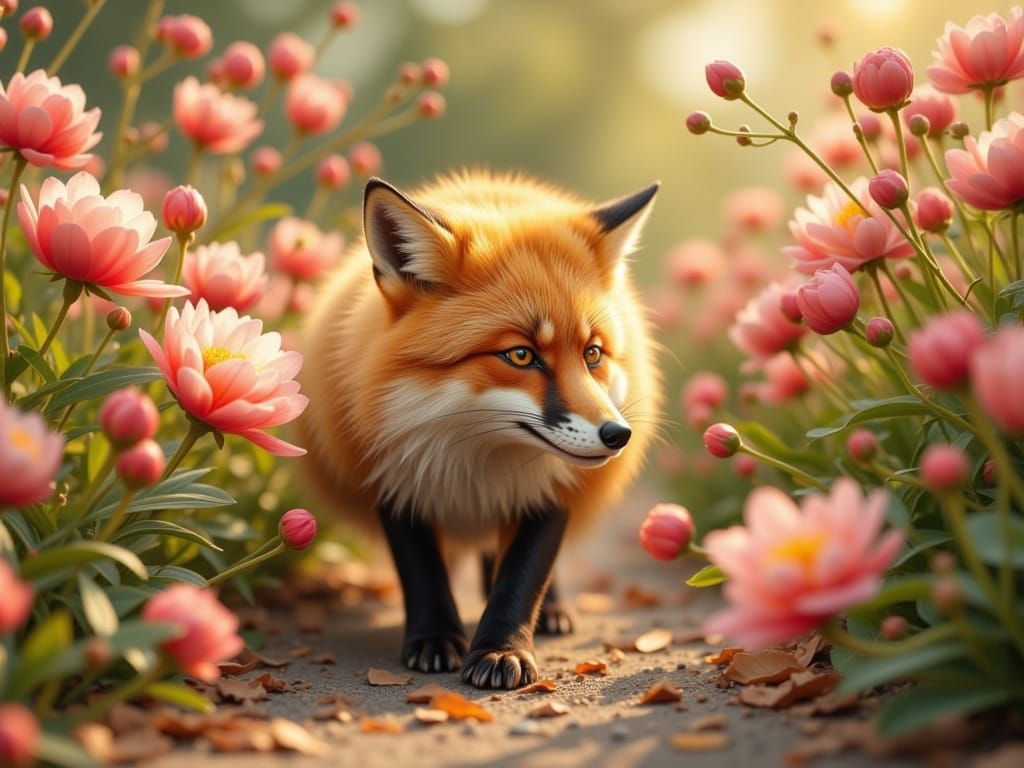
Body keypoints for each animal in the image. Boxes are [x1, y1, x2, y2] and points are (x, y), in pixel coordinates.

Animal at [298, 170, 661, 690]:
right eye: (521, 355)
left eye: (592, 353)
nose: (617, 435)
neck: (476, 461)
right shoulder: (394, 477)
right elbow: (423, 573)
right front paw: (434, 639)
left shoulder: (549, 492)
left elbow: (521, 578)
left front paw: (501, 650)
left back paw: (551, 611)